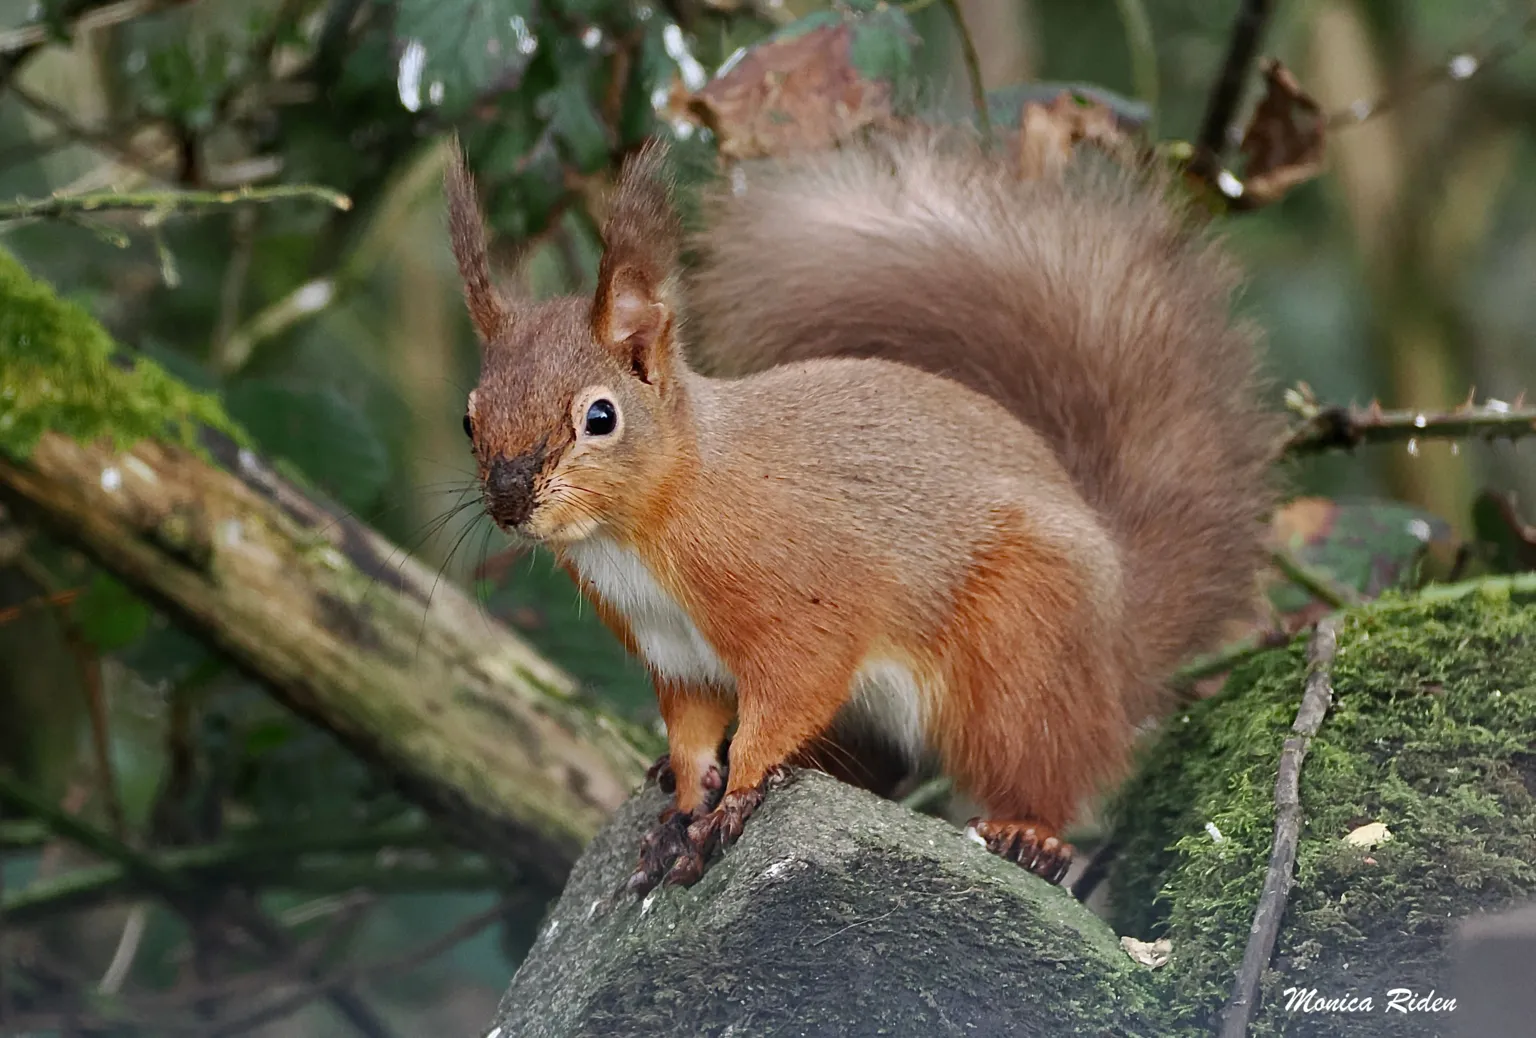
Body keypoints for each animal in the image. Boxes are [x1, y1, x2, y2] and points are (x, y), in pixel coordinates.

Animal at [444, 123, 1278, 893]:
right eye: (469, 420)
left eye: (601, 417)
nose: (510, 499)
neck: (639, 532)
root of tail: (1120, 640)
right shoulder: (676, 659)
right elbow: (691, 731)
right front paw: (685, 800)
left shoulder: (801, 600)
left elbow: (793, 691)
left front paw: (735, 794)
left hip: (1021, 648)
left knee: (1046, 762)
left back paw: (1028, 834)